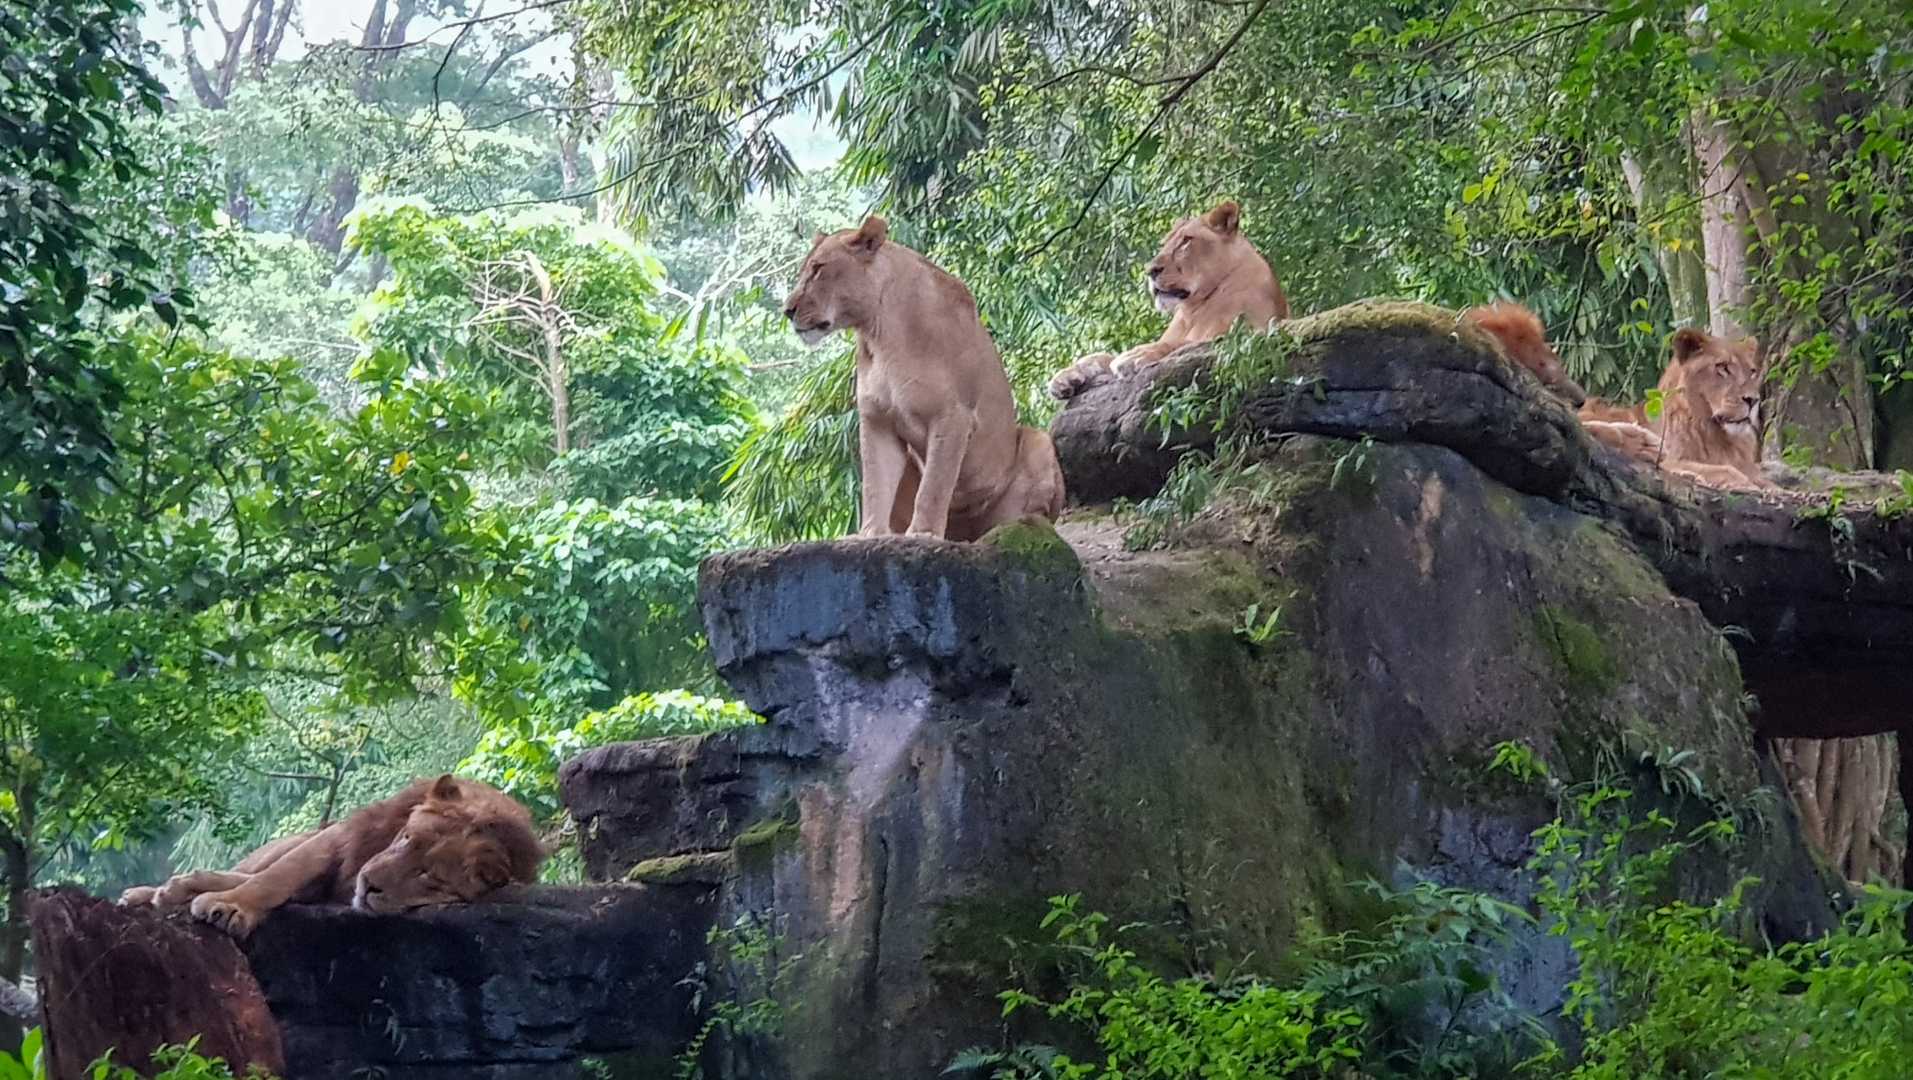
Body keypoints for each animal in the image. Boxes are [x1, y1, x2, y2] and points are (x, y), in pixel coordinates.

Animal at [120, 775, 543, 939]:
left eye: (429, 877)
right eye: (407, 838)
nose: (368, 885)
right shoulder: (335, 838)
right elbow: (275, 878)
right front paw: (228, 906)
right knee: (250, 870)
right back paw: (159, 891)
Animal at [783, 216, 1065, 540]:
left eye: (818, 269)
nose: (787, 310)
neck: (880, 332)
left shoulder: (953, 416)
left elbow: (934, 485)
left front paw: (923, 533)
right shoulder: (876, 419)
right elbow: (875, 484)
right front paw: (870, 533)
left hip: (1037, 440)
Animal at [1048, 200, 1290, 401]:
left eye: (1186, 242)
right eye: (1164, 243)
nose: (1150, 270)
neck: (1193, 310)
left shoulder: (1249, 329)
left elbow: (1179, 344)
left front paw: (1135, 355)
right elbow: (1102, 356)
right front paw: (1065, 376)